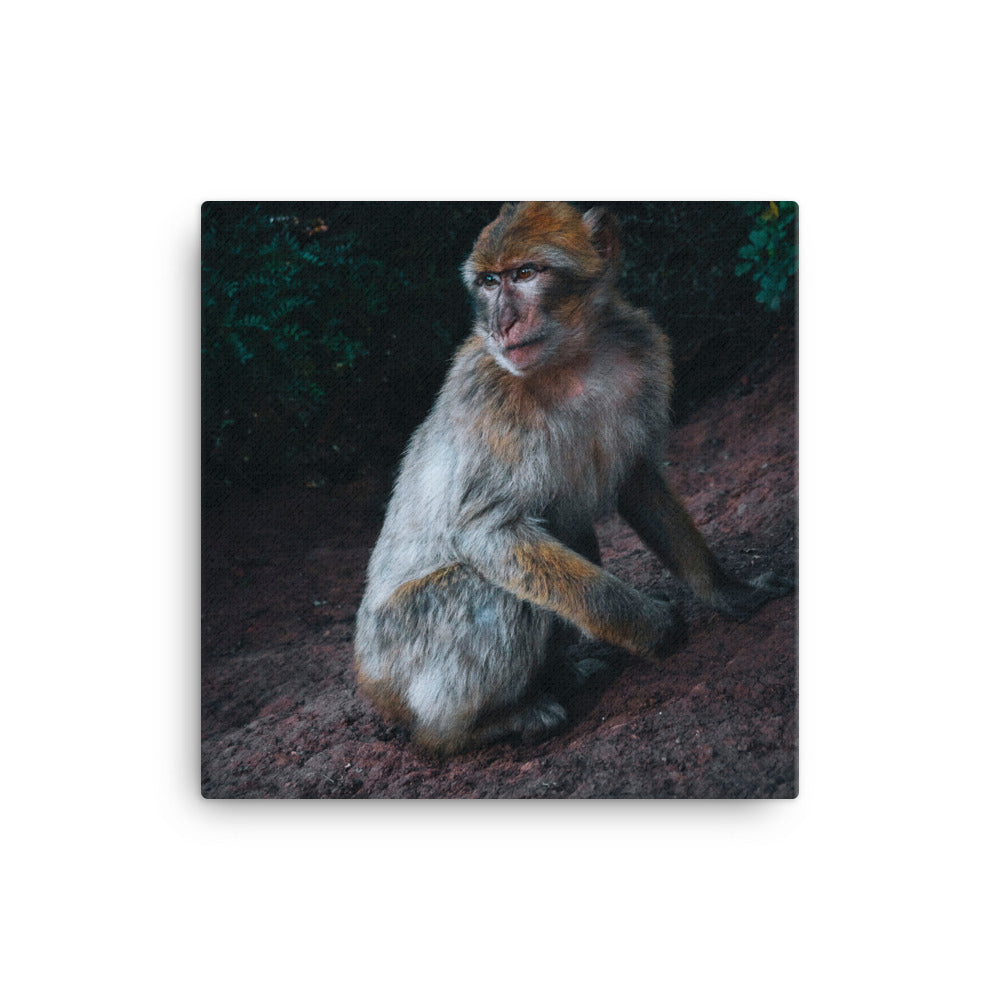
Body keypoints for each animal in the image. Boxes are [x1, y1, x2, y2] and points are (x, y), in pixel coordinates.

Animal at [353, 201, 792, 754]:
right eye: (489, 282)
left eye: (525, 273)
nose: (501, 323)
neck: (571, 360)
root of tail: (370, 682)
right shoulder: (490, 398)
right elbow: (487, 533)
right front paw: (650, 625)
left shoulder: (642, 352)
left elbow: (637, 479)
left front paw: (725, 589)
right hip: (402, 655)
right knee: (489, 592)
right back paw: (478, 726)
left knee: (570, 532)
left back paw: (559, 674)